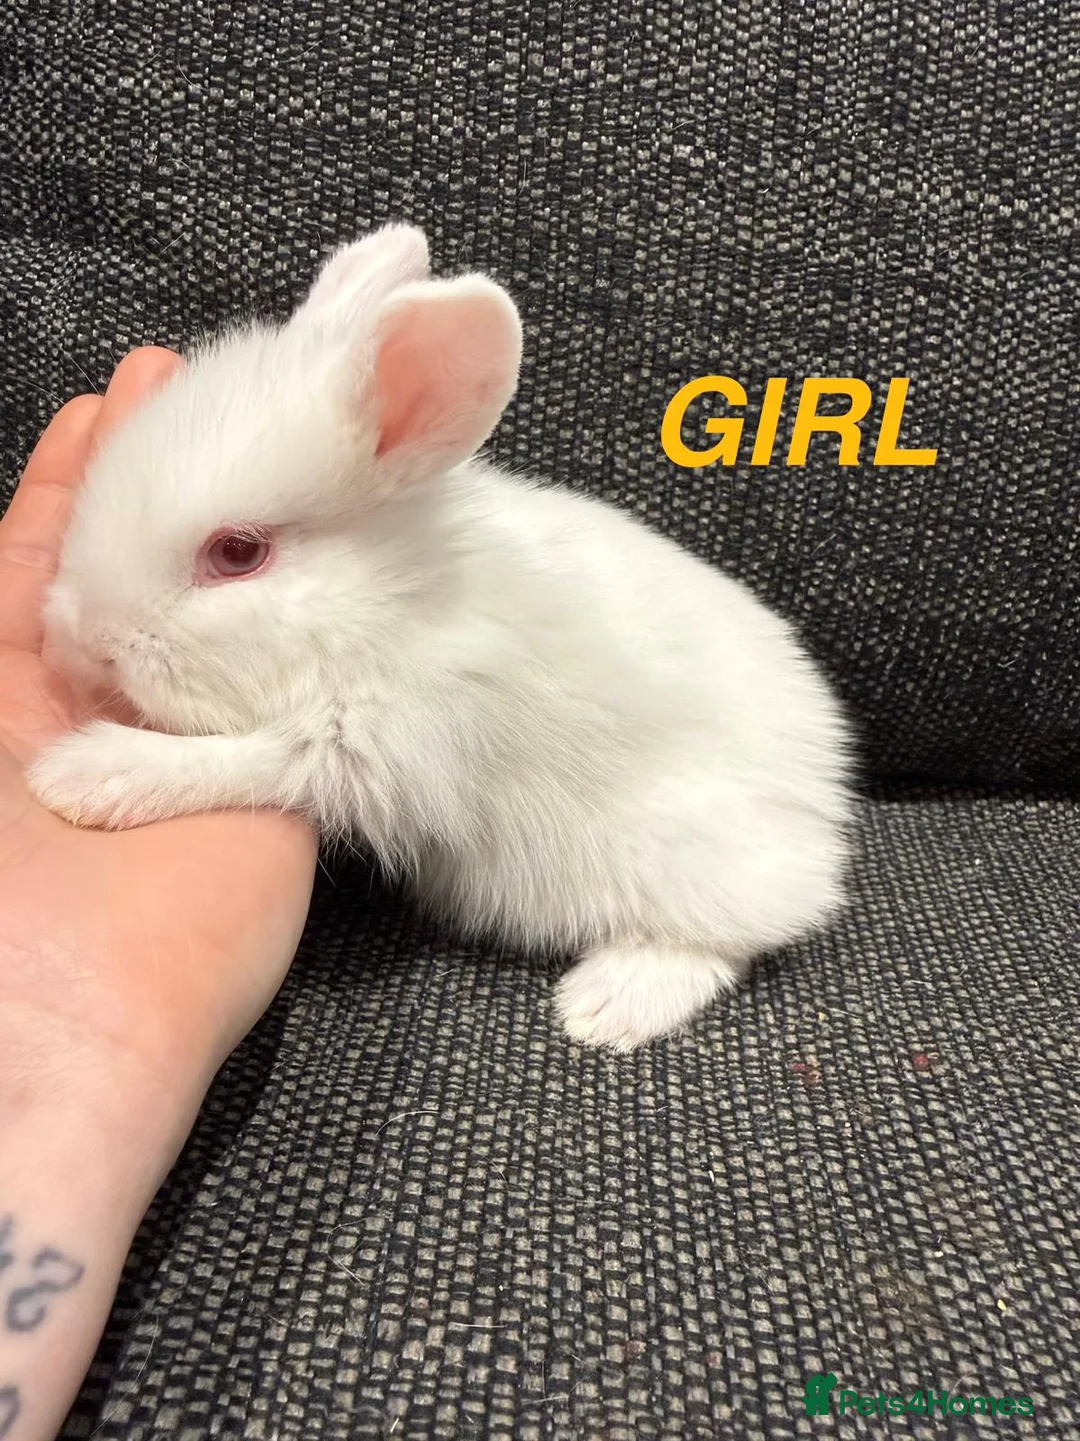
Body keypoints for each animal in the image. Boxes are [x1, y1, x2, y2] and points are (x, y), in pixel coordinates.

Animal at [28, 222, 855, 1052]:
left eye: (237, 553)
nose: (82, 641)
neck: (390, 598)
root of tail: (829, 797)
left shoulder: (371, 748)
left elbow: (242, 761)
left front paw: (79, 777)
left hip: (680, 858)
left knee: (735, 934)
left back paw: (603, 1006)